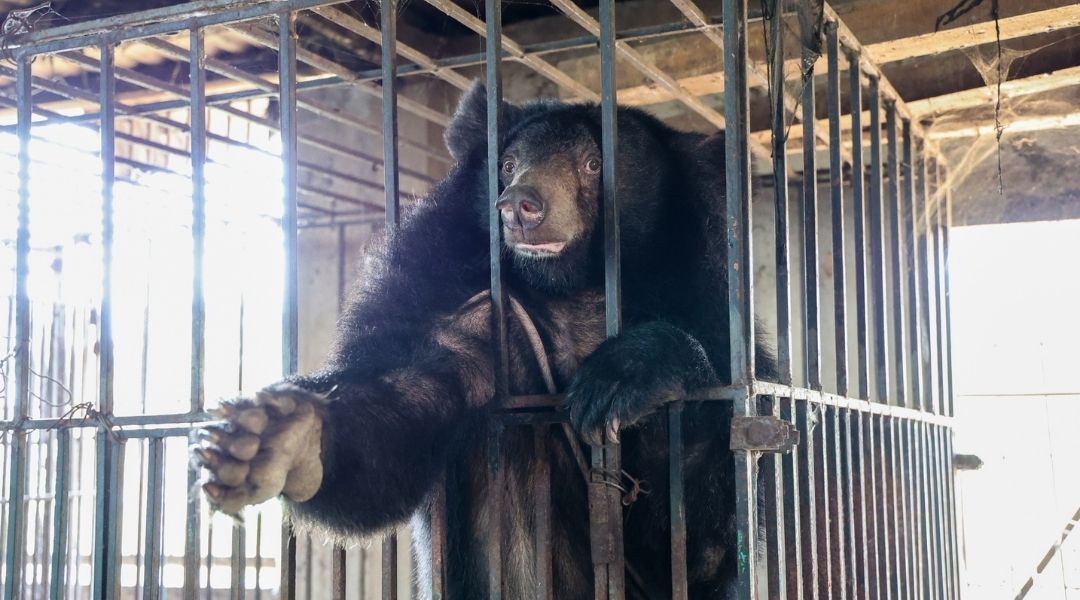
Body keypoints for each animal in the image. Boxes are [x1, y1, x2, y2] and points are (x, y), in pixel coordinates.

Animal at [192, 81, 775, 599]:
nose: (520, 205)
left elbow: (702, 544)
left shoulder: (705, 300)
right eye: (508, 165)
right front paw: (279, 436)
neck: (573, 288)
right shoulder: (438, 291)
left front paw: (622, 379)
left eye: (592, 165)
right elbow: (393, 416)